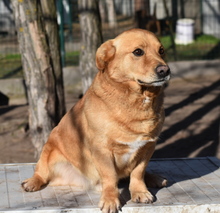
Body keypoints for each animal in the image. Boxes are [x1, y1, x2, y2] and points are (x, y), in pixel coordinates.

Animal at [21, 28, 170, 213]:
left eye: (161, 50)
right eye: (138, 52)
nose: (165, 70)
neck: (137, 100)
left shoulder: (147, 147)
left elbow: (138, 173)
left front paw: (140, 191)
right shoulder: (102, 150)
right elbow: (110, 177)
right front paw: (110, 199)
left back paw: (155, 178)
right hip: (48, 150)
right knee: (41, 172)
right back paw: (32, 182)